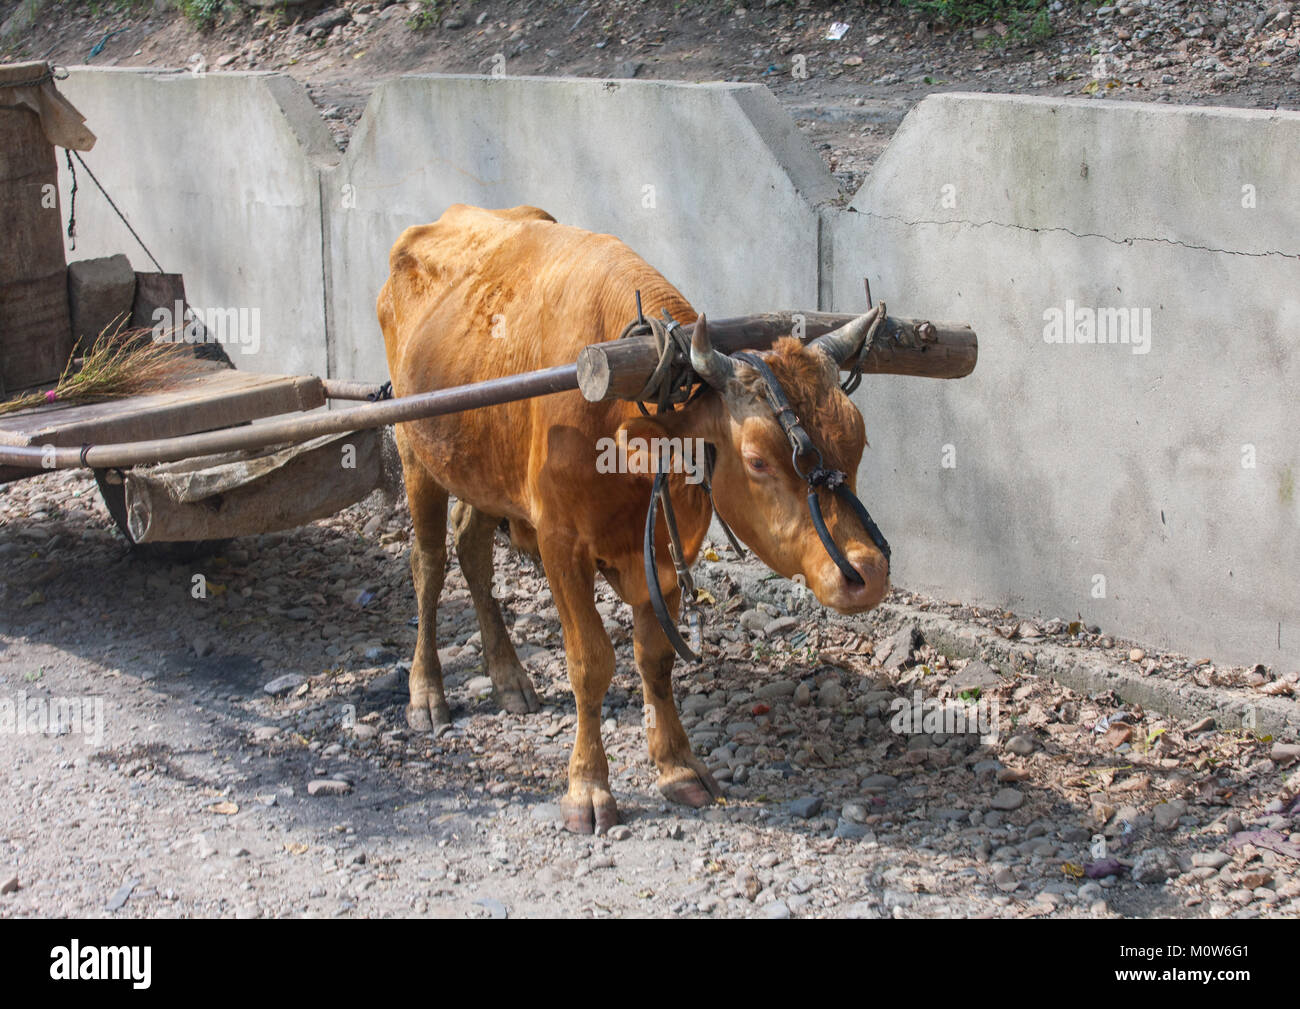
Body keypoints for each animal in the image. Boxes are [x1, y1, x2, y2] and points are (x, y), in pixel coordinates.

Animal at [378, 204, 889, 834]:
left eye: (858, 441)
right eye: (758, 460)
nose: (869, 573)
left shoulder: (665, 548)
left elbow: (656, 656)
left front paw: (678, 767)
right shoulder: (559, 543)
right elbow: (590, 662)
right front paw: (587, 788)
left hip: (478, 468)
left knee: (471, 550)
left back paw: (510, 679)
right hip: (415, 450)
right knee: (428, 565)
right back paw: (426, 693)